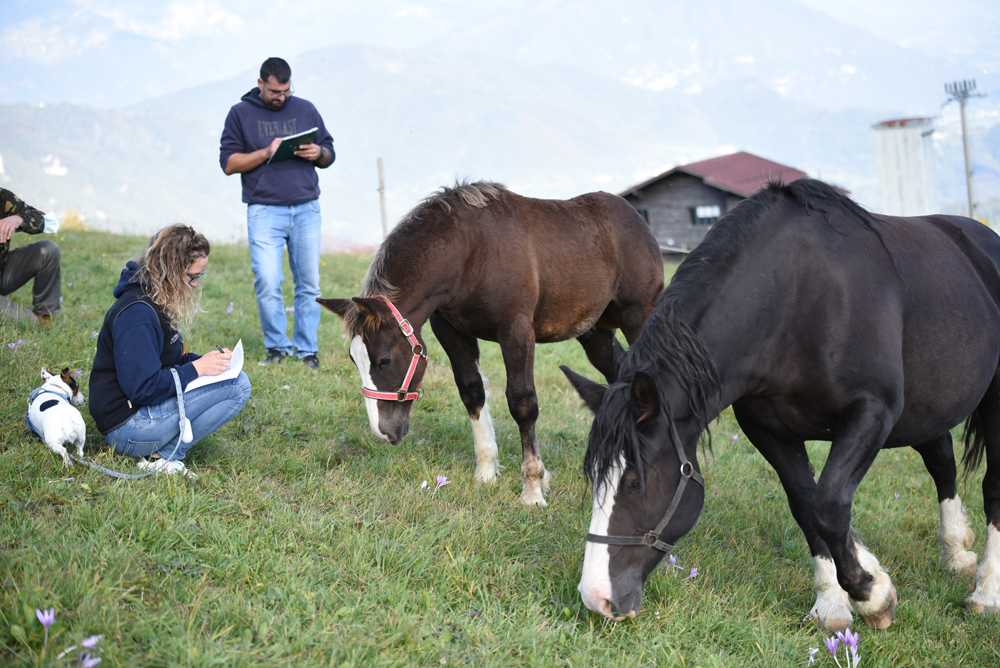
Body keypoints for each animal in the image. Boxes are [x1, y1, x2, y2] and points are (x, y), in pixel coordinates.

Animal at [320, 183, 664, 506]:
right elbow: (472, 391)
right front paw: (485, 474)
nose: (384, 432)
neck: (471, 249)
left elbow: (522, 403)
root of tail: (634, 216)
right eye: (354, 359)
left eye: (384, 360)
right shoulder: (449, 329)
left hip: (638, 317)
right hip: (596, 334)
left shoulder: (517, 331)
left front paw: (533, 489)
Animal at [564, 179, 1000, 632]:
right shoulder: (769, 430)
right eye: (595, 478)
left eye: (636, 482)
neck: (795, 300)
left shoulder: (872, 412)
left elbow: (829, 506)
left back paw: (986, 592)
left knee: (991, 485)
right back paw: (956, 550)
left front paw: (872, 595)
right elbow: (806, 506)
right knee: (942, 461)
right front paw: (832, 602)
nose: (596, 597)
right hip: (924, 408)